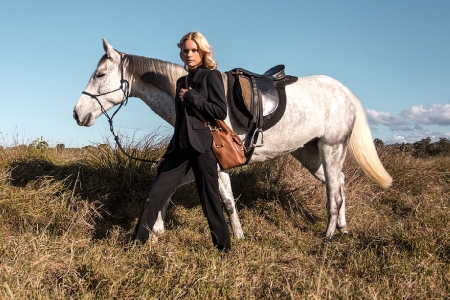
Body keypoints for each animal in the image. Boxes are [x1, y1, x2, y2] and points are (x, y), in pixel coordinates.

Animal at [73, 39, 390, 241]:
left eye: (100, 74)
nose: (77, 113)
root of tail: (345, 92)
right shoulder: (193, 162)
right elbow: (166, 186)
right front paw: (158, 228)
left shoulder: (216, 162)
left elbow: (225, 199)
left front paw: (237, 236)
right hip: (309, 154)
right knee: (339, 183)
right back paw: (343, 228)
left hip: (331, 148)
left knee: (333, 191)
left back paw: (329, 235)